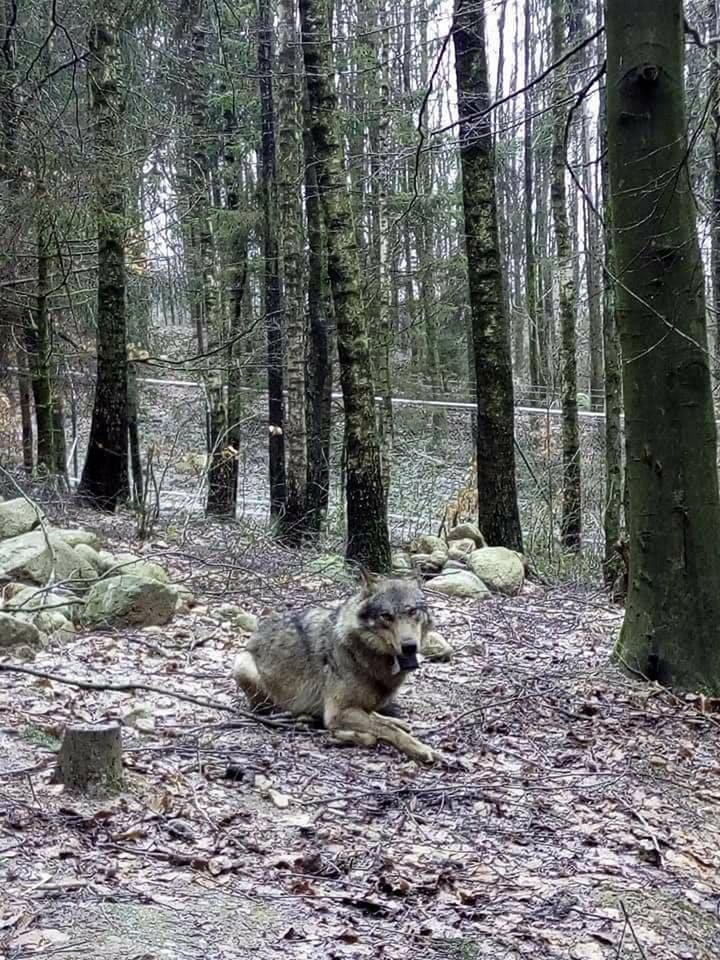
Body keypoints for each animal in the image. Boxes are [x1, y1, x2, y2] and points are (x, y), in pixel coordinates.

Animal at [233, 568, 438, 764]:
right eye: (386, 616)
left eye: (412, 612)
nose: (409, 646)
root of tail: (256, 633)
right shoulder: (337, 713)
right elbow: (383, 732)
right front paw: (420, 749)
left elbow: (381, 723)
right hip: (243, 665)